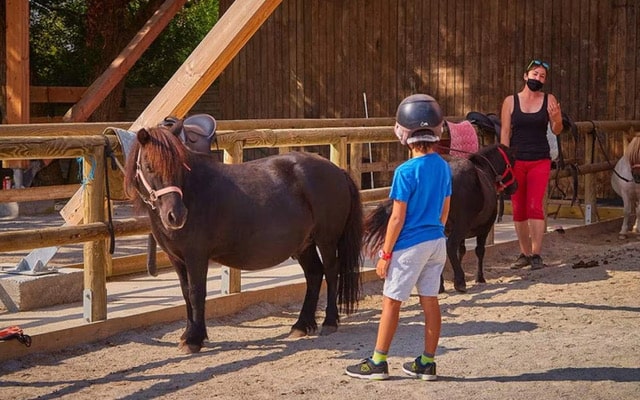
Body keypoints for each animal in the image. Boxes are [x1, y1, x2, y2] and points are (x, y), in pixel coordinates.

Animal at [123, 125, 363, 353]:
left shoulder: (196, 256)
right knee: (314, 274)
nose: (177, 215)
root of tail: (337, 170)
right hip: (305, 244)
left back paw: (329, 322)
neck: (193, 192)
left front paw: (194, 339)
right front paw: (188, 335)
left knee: (331, 272)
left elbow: (196, 292)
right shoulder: (177, 258)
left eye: (180, 167)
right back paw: (301, 325)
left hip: (327, 240)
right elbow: (185, 293)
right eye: (148, 166)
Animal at [362, 143, 517, 293]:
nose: (515, 186)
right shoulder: (484, 227)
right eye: (512, 162)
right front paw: (480, 278)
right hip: (461, 223)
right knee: (450, 246)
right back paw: (459, 282)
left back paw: (439, 284)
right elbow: (479, 250)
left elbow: (461, 251)